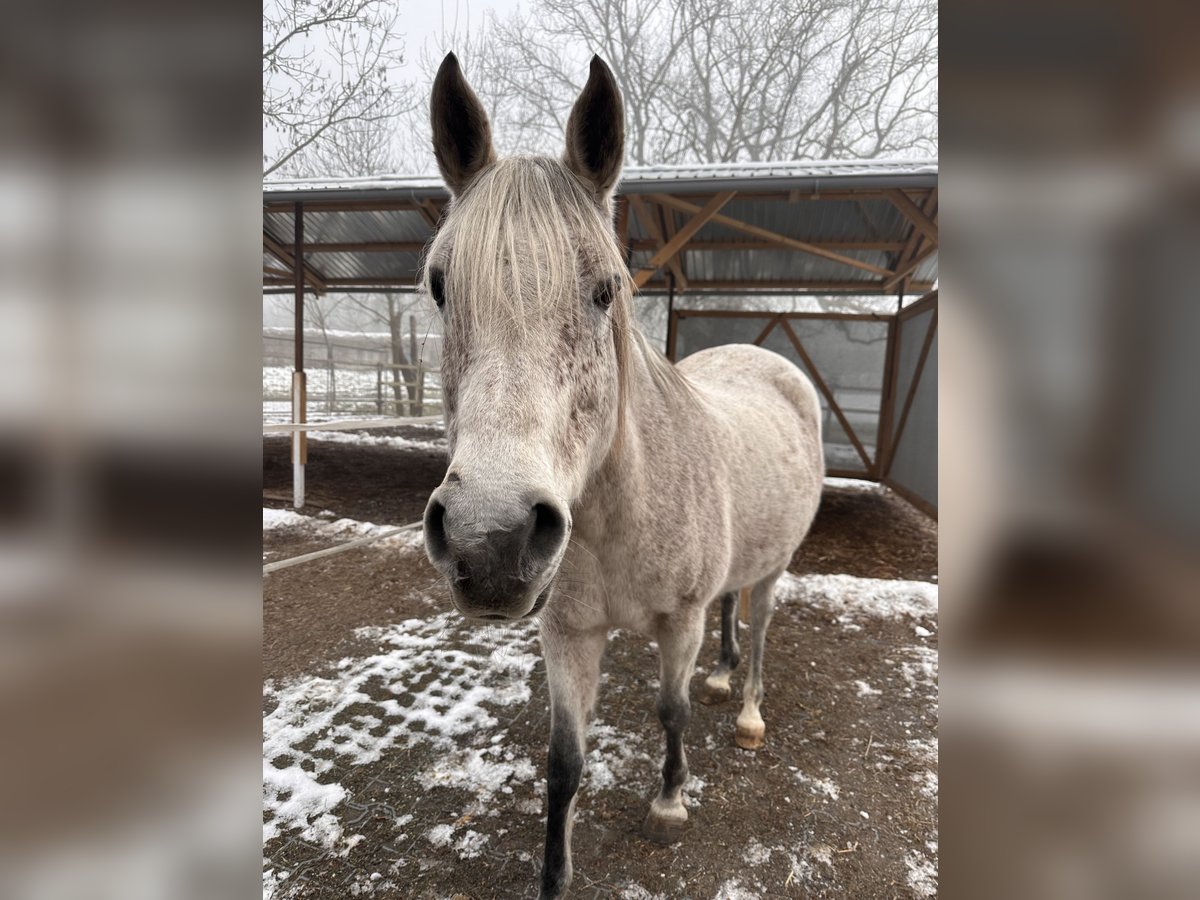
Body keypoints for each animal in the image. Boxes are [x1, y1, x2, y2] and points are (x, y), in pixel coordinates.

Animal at [422, 54, 825, 900]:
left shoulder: (678, 622)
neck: (618, 519)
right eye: (441, 286)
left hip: (776, 565)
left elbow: (670, 712)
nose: (490, 540)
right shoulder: (566, 633)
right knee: (735, 613)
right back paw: (723, 678)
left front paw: (670, 804)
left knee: (760, 626)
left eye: (604, 289)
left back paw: (746, 708)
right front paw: (553, 877)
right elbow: (563, 764)